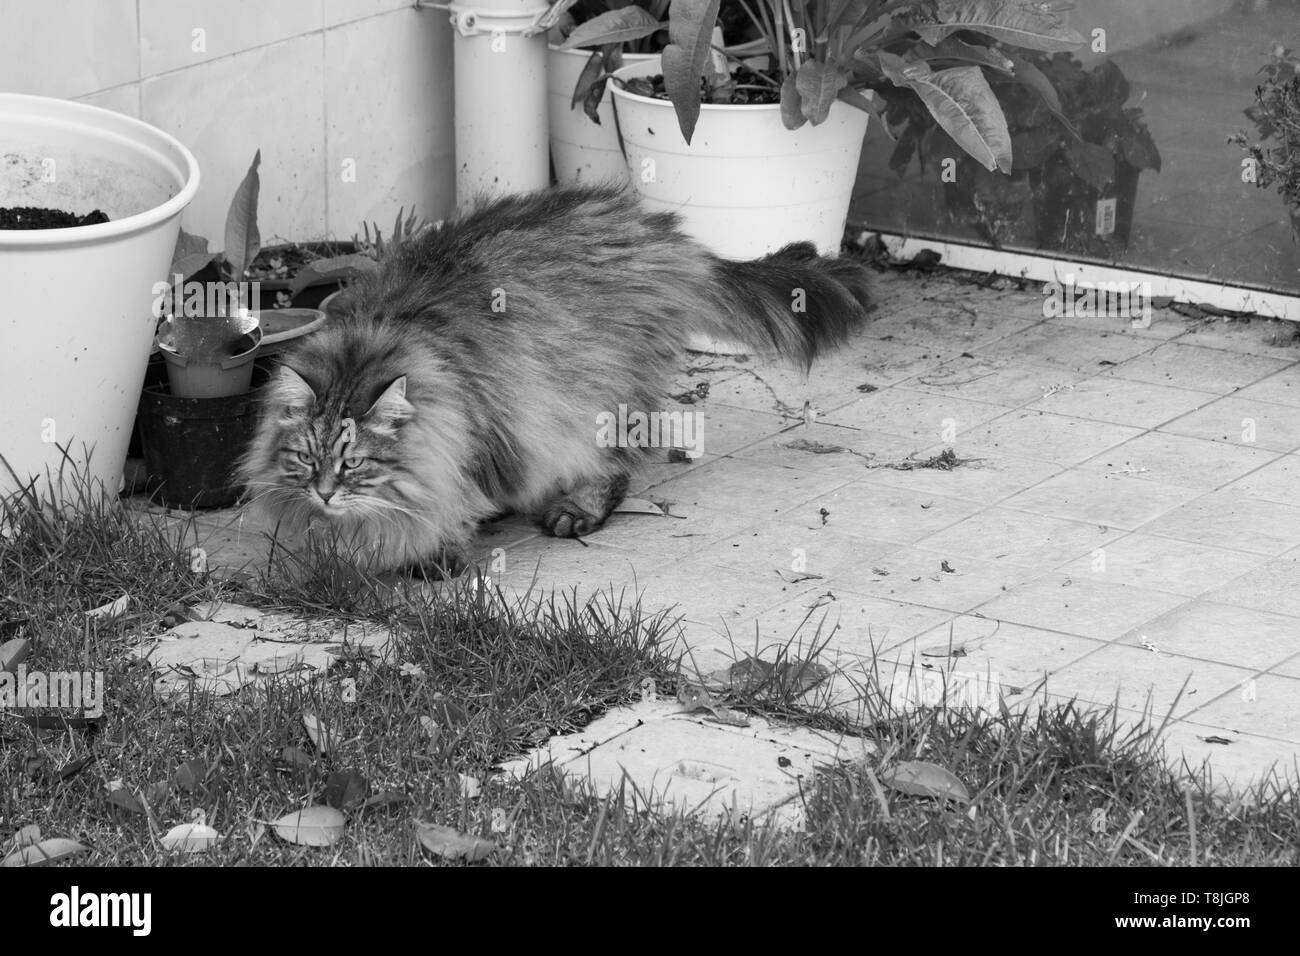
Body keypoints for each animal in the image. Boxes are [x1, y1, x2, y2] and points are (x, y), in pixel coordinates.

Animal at [241, 183, 873, 572]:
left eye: (354, 463)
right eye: (305, 459)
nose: (324, 492)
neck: (380, 341)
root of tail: (656, 230)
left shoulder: (483, 431)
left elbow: (444, 501)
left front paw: (432, 552)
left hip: (589, 396)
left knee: (614, 465)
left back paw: (576, 509)